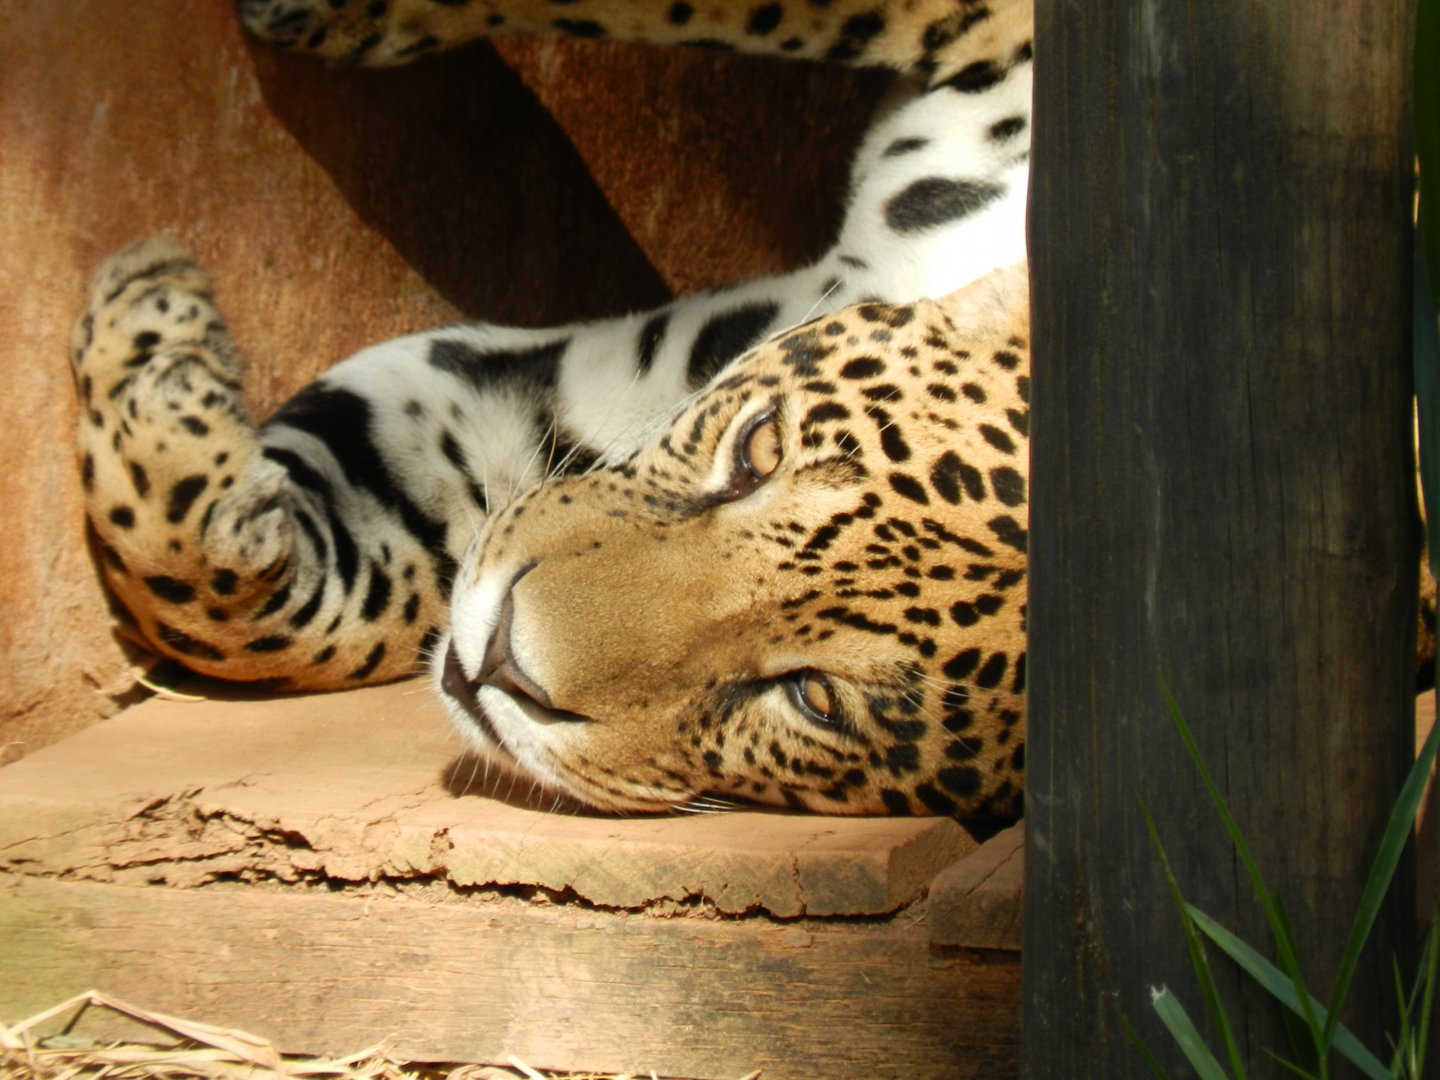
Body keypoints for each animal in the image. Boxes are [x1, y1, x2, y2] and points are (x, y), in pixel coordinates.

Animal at [70, 0, 1034, 819]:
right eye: (757, 451)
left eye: (815, 698)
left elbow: (303, 605)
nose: (501, 659)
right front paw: (155, 317)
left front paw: (152, 331)